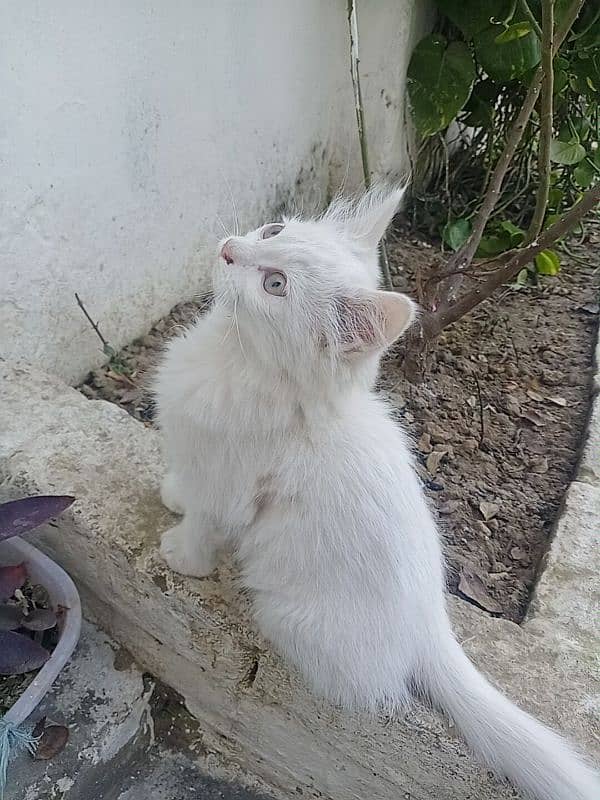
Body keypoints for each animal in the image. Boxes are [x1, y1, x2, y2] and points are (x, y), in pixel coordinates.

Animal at [154, 189, 596, 800]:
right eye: (273, 231)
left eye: (274, 285)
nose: (228, 249)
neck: (235, 361)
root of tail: (432, 625)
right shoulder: (200, 461)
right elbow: (187, 490)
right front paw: (173, 494)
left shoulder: (229, 488)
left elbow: (203, 524)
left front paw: (181, 555)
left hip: (287, 615)